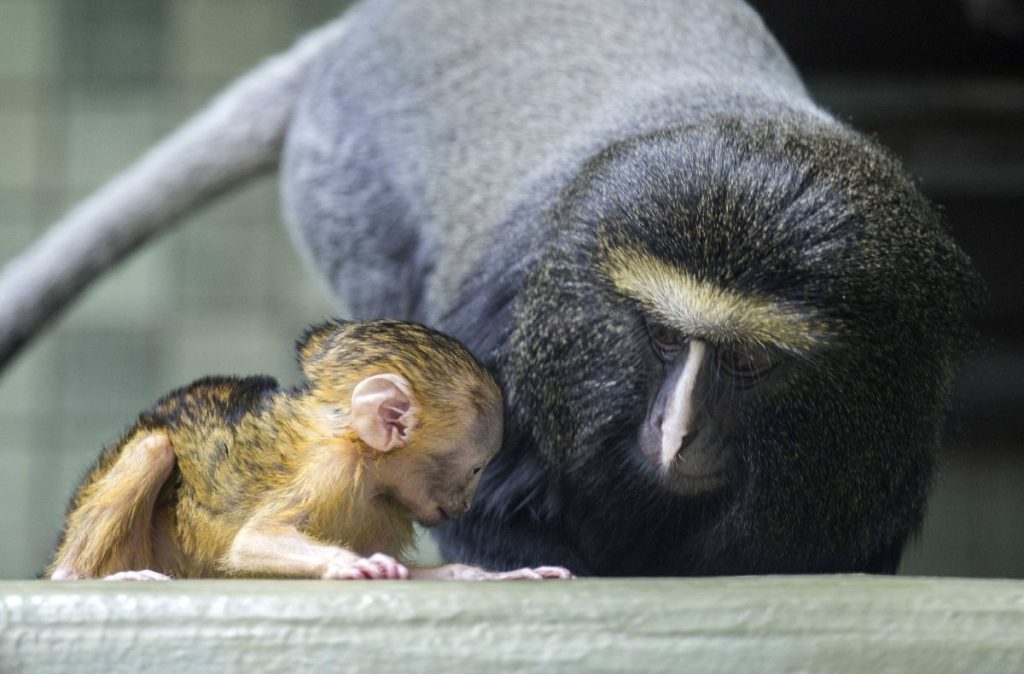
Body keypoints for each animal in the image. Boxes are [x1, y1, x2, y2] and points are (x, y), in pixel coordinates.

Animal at [48, 317, 573, 581]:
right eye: (477, 468)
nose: (465, 502)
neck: (369, 464)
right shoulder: (332, 471)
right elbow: (254, 541)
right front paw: (348, 563)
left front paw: (484, 575)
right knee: (154, 448)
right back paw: (76, 576)